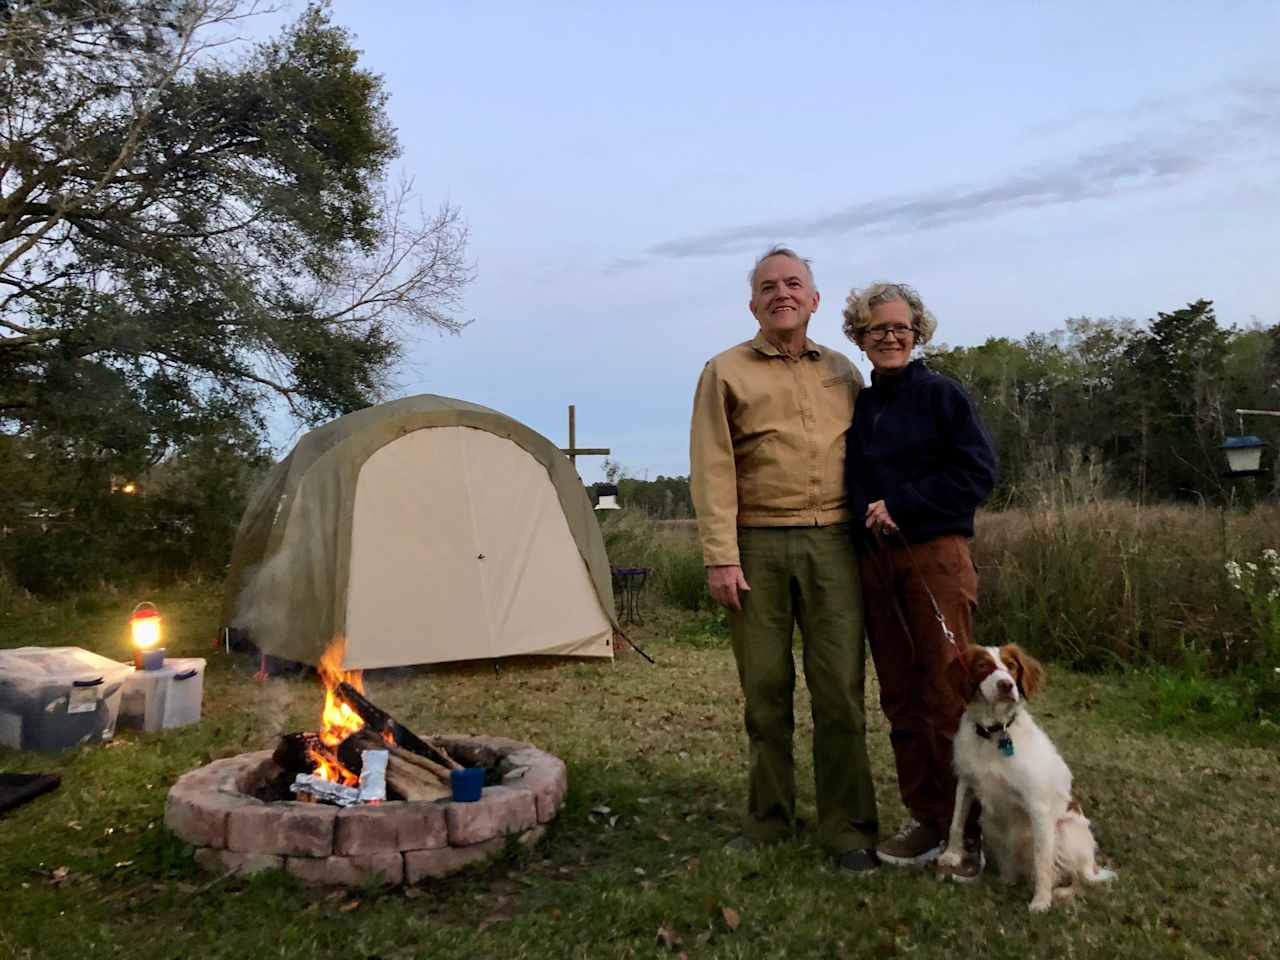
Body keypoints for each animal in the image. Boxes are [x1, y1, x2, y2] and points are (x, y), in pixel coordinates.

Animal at [936, 642, 1116, 911]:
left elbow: (1042, 860)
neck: (994, 734)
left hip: (1066, 830)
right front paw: (952, 854)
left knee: (1078, 876)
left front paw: (1041, 901)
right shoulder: (966, 782)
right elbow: (956, 821)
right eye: (982, 666)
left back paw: (1061, 892)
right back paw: (1006, 879)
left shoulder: (1037, 806)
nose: (1006, 685)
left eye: (1011, 666)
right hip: (990, 825)